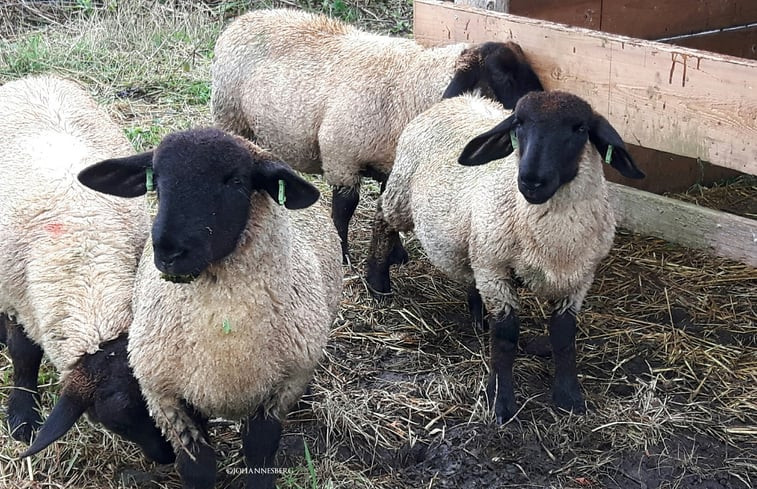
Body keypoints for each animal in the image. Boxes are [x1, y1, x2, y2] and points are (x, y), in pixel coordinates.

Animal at [0, 73, 173, 462]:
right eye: (117, 425)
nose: (168, 456)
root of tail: (32, 79)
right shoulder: (17, 300)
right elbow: (23, 355)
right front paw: (22, 415)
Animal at [78, 127, 344, 488]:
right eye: (155, 180)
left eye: (235, 181)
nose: (169, 251)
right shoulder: (165, 396)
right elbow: (198, 467)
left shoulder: (284, 385)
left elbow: (260, 449)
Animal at [210, 7, 540, 262]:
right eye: (502, 75)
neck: (411, 87)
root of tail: (245, 17)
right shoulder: (341, 158)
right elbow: (344, 210)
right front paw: (343, 255)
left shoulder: (393, 163)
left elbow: (386, 206)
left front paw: (396, 254)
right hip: (230, 117)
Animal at [366, 91, 644, 424]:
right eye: (518, 124)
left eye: (579, 128)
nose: (531, 180)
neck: (555, 243)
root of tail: (458, 98)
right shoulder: (495, 269)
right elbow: (506, 337)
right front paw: (500, 402)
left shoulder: (577, 279)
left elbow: (564, 336)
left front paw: (569, 397)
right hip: (403, 192)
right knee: (382, 218)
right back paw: (377, 283)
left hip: (475, 240)